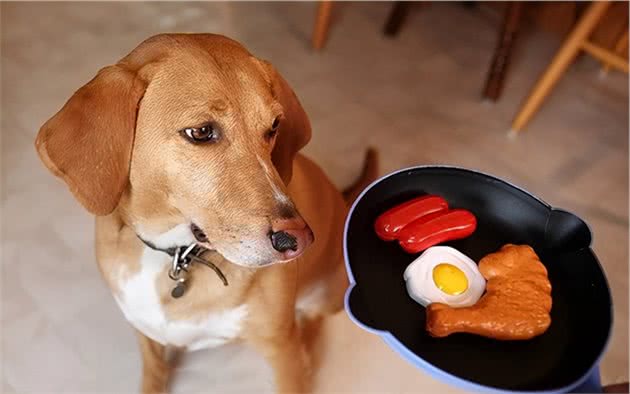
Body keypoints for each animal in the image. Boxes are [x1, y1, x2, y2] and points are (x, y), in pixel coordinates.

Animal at [34, 33, 378, 390]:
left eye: (273, 127)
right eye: (200, 132)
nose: (299, 240)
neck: (174, 255)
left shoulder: (283, 350)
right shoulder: (144, 330)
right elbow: (153, 375)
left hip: (329, 296)